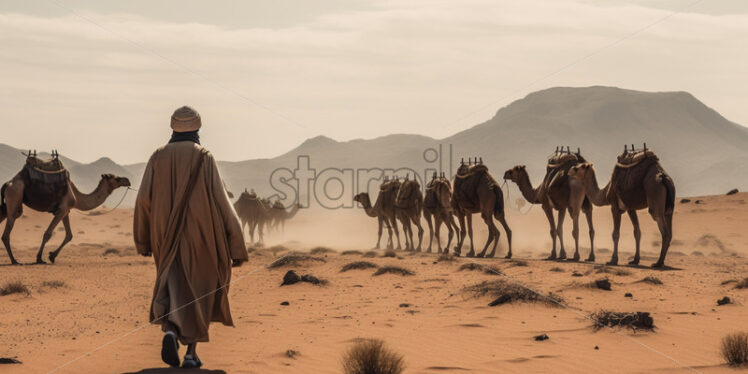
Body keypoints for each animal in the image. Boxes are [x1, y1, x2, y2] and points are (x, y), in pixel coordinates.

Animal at [0, 150, 130, 264]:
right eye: (117, 179)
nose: (127, 180)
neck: (76, 196)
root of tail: (8, 183)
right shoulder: (61, 210)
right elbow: (48, 234)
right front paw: (40, 258)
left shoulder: (66, 211)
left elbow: (69, 235)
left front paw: (52, 256)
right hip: (14, 196)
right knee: (6, 233)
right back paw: (14, 260)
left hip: (8, 205)